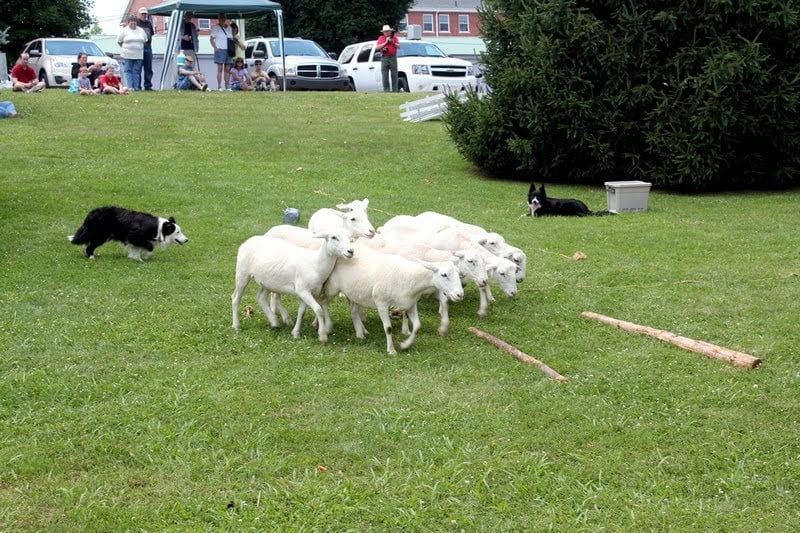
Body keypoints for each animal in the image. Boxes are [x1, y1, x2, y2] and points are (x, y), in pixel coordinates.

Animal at [320, 246, 464, 354]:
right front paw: (391, 350)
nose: (460, 295)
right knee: (323, 302)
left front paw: (405, 345)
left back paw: (361, 333)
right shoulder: (381, 303)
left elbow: (417, 326)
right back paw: (326, 327)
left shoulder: (410, 304)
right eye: (444, 275)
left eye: (459, 274)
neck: (411, 278)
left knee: (354, 311)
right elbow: (388, 328)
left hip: (355, 292)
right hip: (332, 287)